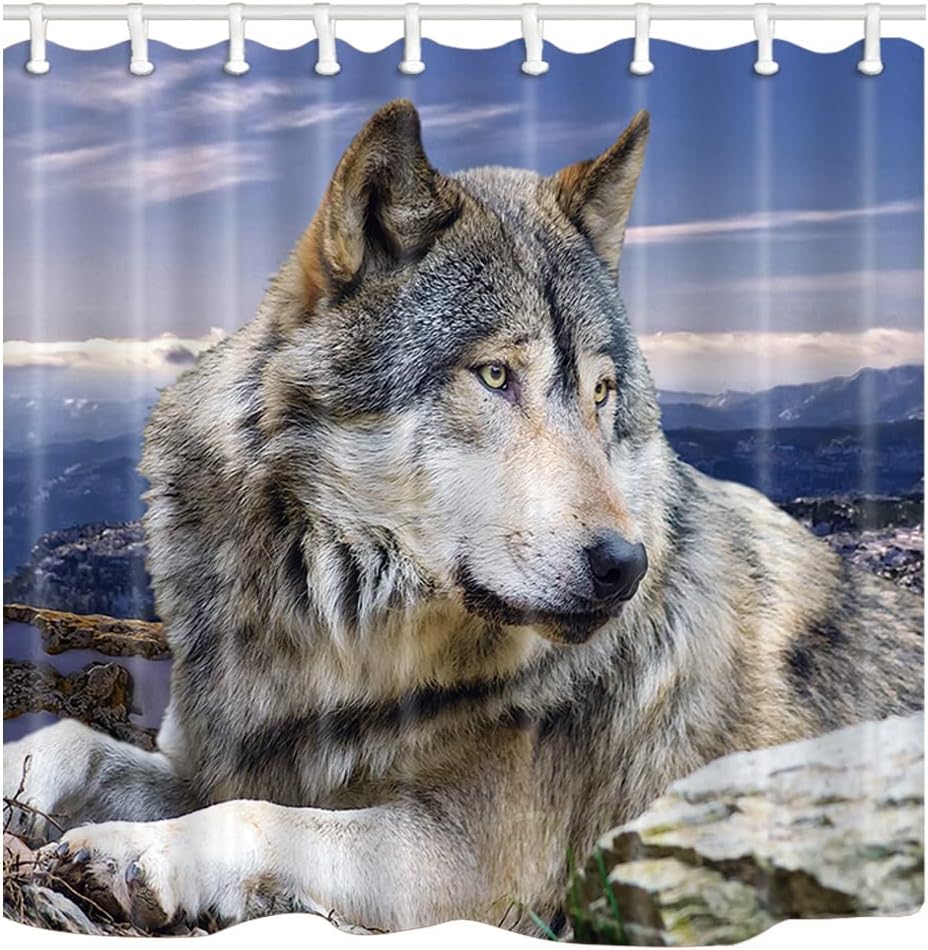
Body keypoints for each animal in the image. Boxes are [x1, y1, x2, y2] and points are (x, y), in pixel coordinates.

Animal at [4, 100, 923, 936]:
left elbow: (256, 817)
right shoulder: (217, 761)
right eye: (494, 376)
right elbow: (75, 741)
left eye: (602, 393)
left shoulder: (474, 866)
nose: (624, 566)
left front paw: (135, 854)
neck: (332, 640)